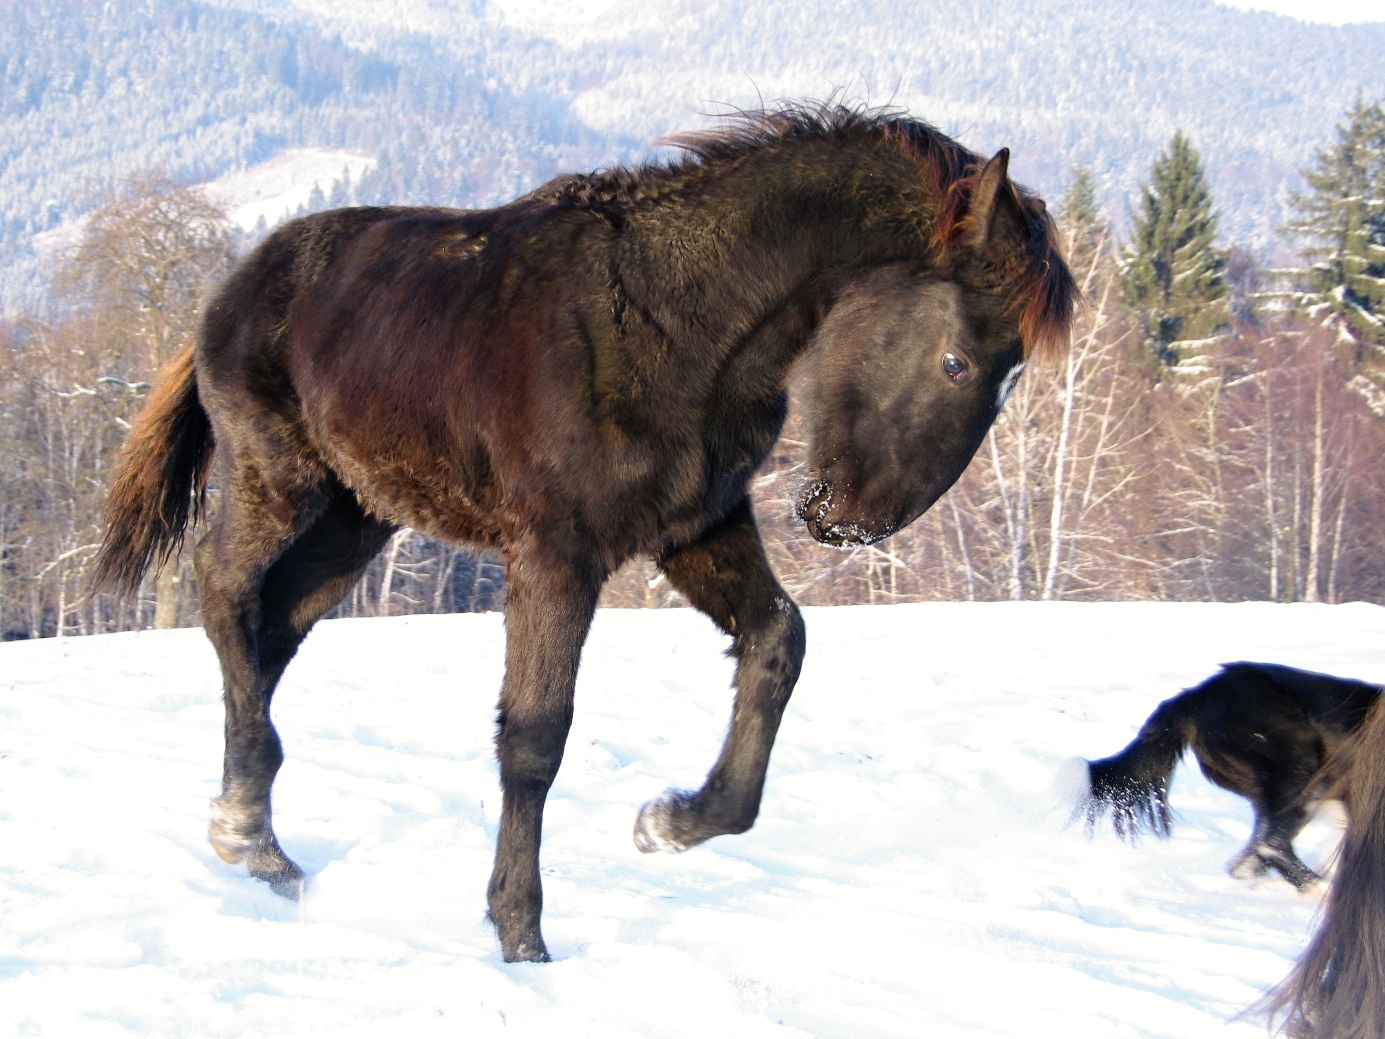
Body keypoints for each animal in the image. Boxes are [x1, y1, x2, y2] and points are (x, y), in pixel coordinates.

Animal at [92, 101, 1074, 964]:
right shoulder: (555, 554)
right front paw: (521, 936)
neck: (675, 320)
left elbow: (777, 639)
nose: (849, 522)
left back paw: (258, 842)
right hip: (280, 481)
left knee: (275, 626)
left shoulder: (694, 526)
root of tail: (233, 287)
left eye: (1009, 377)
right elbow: (534, 735)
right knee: (225, 593)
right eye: (955, 361)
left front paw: (671, 821)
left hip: (354, 518)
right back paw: (243, 824)